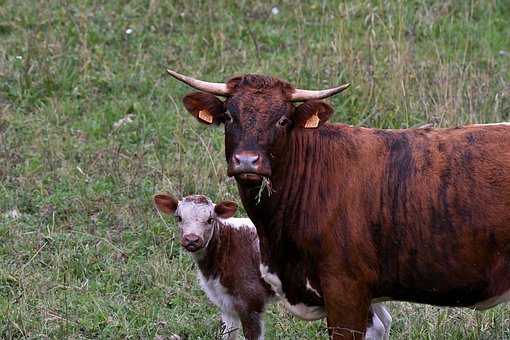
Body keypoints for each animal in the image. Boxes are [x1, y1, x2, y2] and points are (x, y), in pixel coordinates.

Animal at [154, 194, 274, 340]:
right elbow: (228, 333)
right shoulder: (226, 303)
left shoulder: (251, 300)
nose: (192, 239)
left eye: (210, 220)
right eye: (179, 218)